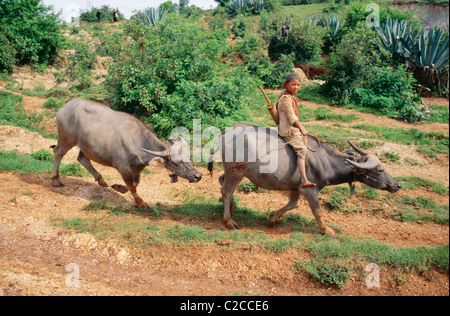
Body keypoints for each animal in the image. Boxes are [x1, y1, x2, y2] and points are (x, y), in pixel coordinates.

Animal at [50, 98, 202, 207]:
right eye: (176, 162)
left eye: (189, 157)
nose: (197, 176)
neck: (137, 142)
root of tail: (64, 108)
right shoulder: (123, 167)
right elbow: (132, 186)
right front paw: (141, 203)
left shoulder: (135, 169)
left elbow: (135, 183)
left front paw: (118, 187)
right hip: (66, 138)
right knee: (58, 153)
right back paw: (55, 179)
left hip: (85, 146)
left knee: (82, 158)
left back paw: (101, 181)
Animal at [207, 123, 400, 237]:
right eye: (380, 169)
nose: (397, 185)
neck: (326, 161)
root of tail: (226, 132)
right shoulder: (310, 189)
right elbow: (317, 211)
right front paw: (327, 230)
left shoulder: (296, 188)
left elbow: (292, 205)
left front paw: (272, 218)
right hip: (236, 171)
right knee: (226, 190)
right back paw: (228, 220)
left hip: (231, 171)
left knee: (221, 181)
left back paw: (232, 208)